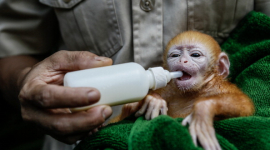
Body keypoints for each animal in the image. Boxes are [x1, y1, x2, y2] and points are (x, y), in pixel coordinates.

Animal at [110, 30, 254, 150]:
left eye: (195, 55)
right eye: (175, 55)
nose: (182, 60)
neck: (192, 92)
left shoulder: (219, 87)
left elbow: (245, 107)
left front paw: (202, 111)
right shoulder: (167, 89)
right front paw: (153, 100)